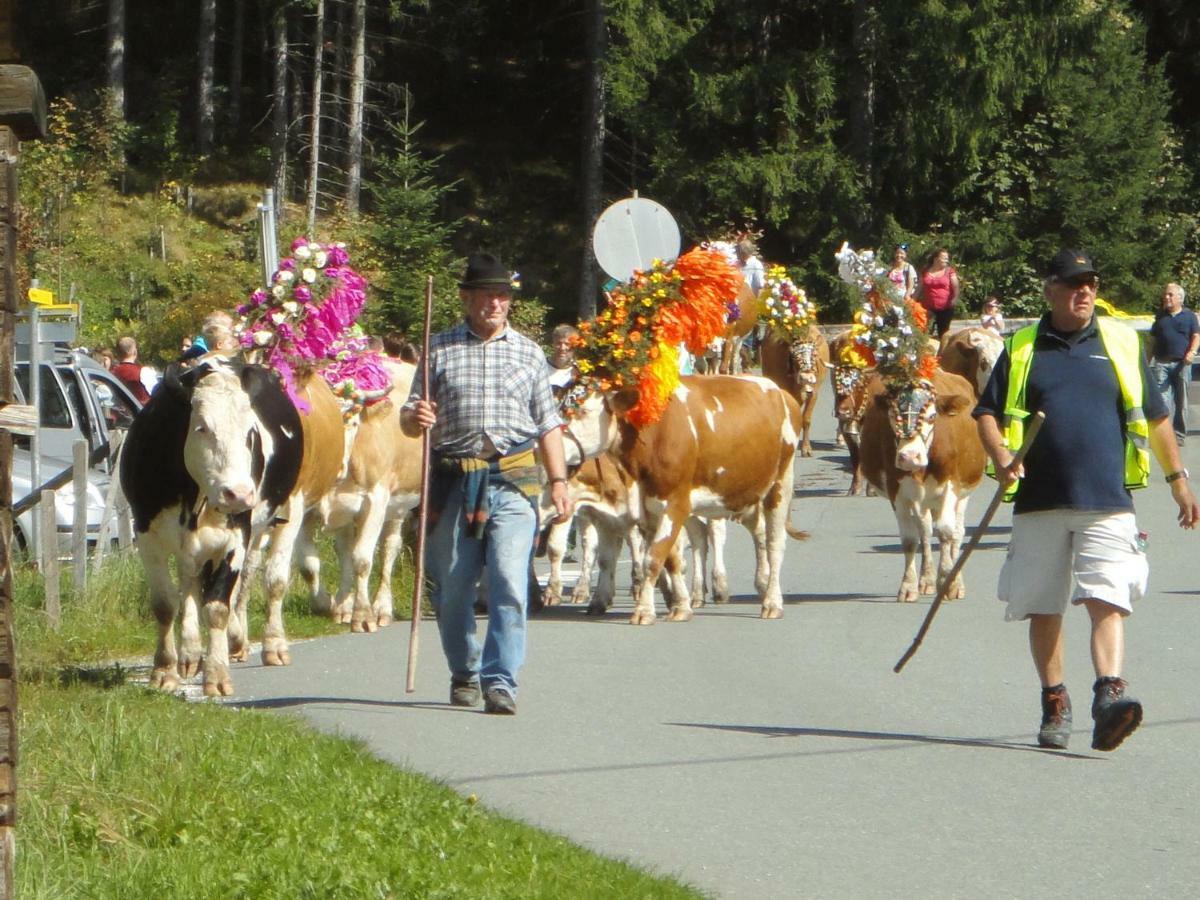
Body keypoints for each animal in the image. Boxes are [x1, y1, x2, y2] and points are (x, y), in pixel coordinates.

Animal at [122, 360, 302, 696]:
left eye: (250, 432)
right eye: (202, 427)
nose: (239, 494)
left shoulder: (237, 537)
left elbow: (218, 607)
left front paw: (217, 674)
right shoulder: (147, 535)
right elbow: (165, 604)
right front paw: (164, 670)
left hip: (289, 511)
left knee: (272, 581)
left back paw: (271, 644)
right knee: (190, 585)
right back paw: (191, 653)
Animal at [561, 376, 806, 624]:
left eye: (583, 411)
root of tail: (781, 391)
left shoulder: (675, 504)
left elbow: (653, 559)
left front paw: (644, 611)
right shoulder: (649, 510)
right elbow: (669, 559)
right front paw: (680, 608)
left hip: (780, 484)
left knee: (775, 544)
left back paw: (772, 602)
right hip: (745, 493)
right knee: (759, 534)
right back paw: (761, 586)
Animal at [763, 326, 830, 458]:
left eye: (815, 354)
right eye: (794, 356)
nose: (806, 377)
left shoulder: (814, 392)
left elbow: (806, 419)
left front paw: (806, 449)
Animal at [864, 367, 984, 607]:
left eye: (931, 416)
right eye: (892, 415)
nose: (909, 456)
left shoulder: (951, 486)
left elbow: (947, 532)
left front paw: (948, 582)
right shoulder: (897, 492)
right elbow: (910, 540)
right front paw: (908, 586)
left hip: (962, 495)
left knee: (957, 532)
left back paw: (956, 580)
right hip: (922, 500)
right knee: (926, 531)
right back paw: (927, 580)